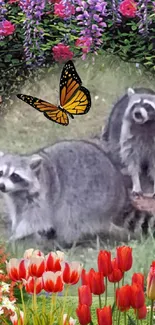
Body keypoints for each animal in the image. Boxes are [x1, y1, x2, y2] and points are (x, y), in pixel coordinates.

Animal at [0, 138, 133, 244]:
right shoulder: (14, 198)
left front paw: (17, 235)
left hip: (92, 200)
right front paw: (15, 227)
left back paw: (64, 241)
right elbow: (18, 213)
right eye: (1, 172)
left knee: (71, 217)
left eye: (14, 176)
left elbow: (35, 220)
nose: (1, 186)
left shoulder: (43, 198)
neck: (19, 191)